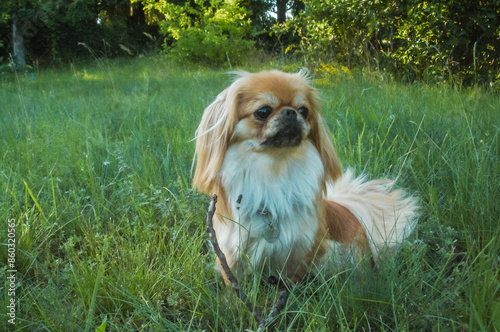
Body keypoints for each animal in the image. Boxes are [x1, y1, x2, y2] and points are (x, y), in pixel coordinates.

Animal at [191, 69, 418, 282]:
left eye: (303, 110)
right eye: (263, 111)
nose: (291, 112)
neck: (273, 168)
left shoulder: (300, 249)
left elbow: (290, 282)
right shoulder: (231, 249)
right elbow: (233, 283)